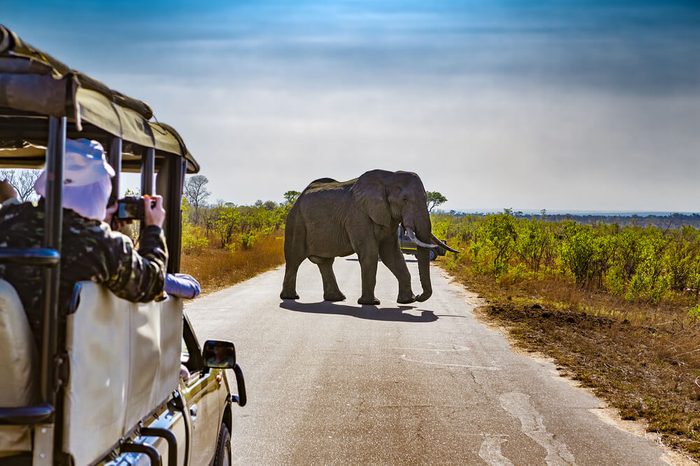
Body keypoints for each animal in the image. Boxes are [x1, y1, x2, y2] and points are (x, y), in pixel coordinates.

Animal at [280, 170, 460, 306]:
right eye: (404, 200)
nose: (419, 297)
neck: (389, 178)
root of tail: (298, 198)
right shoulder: (358, 216)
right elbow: (370, 253)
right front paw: (371, 303)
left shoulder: (388, 218)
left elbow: (391, 254)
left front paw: (406, 302)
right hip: (296, 222)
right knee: (294, 259)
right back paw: (291, 298)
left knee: (325, 262)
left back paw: (337, 299)